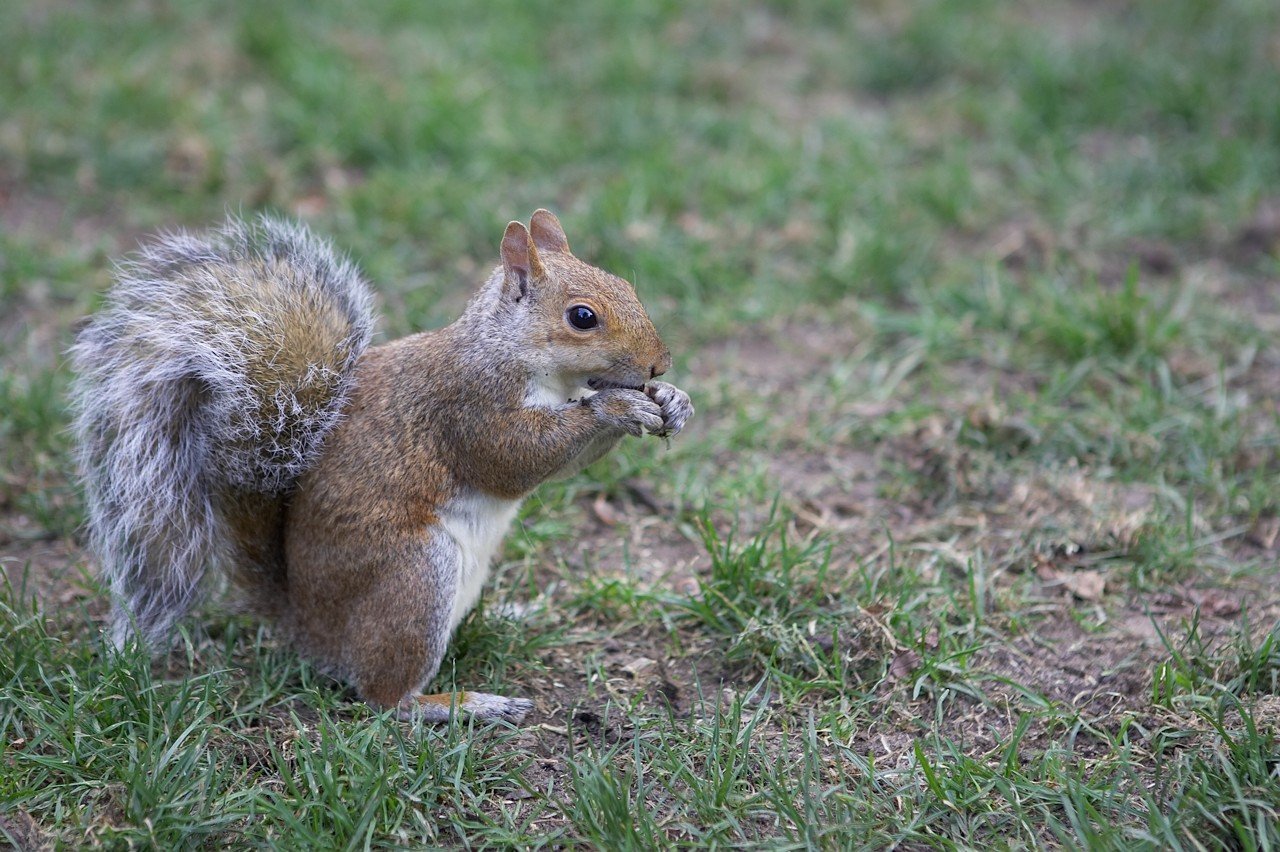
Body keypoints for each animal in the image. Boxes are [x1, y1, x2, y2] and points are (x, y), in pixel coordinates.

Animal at [70, 208, 691, 721]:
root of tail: (307, 627)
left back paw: (511, 617)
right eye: (582, 317)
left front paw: (673, 401)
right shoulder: (468, 407)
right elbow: (516, 459)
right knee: (385, 698)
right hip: (413, 577)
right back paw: (463, 704)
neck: (510, 352)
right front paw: (618, 407)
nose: (659, 364)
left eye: (626, 285)